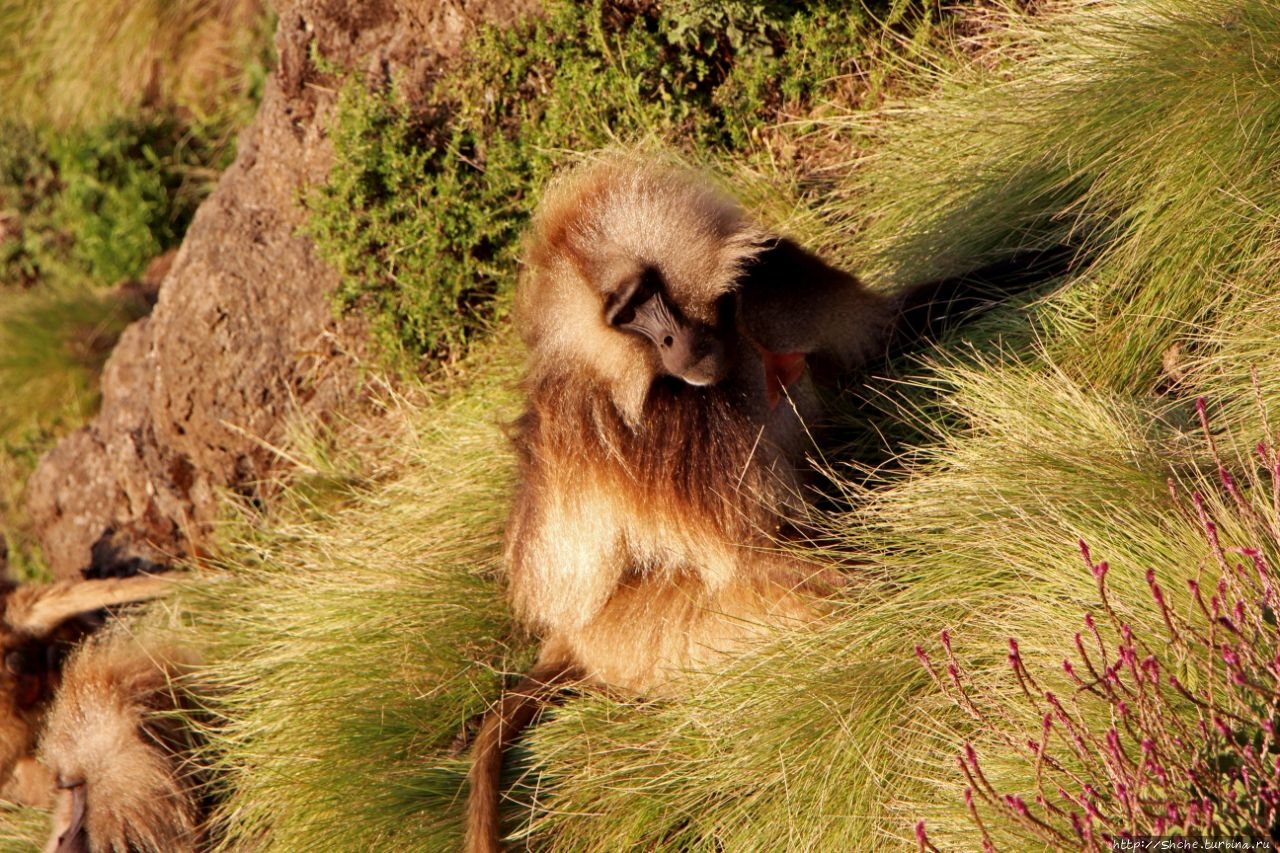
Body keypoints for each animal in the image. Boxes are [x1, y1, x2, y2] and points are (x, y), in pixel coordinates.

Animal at [471, 156, 1070, 845]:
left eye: (645, 297)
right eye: (625, 317)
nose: (672, 343)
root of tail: (565, 640)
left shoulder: (770, 275)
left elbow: (881, 335)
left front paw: (1070, 245)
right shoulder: (664, 435)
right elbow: (755, 552)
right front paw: (933, 584)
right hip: (633, 640)